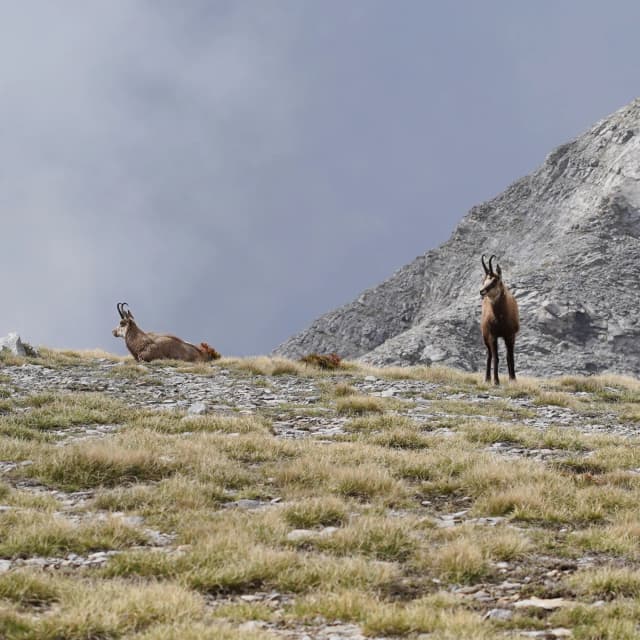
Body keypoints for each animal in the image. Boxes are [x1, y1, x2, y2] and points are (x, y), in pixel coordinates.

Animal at [480, 255, 519, 385]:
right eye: (484, 280)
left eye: (494, 280)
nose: (482, 291)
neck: (501, 318)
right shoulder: (493, 335)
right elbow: (496, 357)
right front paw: (496, 381)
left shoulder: (510, 335)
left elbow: (510, 356)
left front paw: (513, 379)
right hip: (485, 336)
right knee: (490, 355)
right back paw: (487, 378)